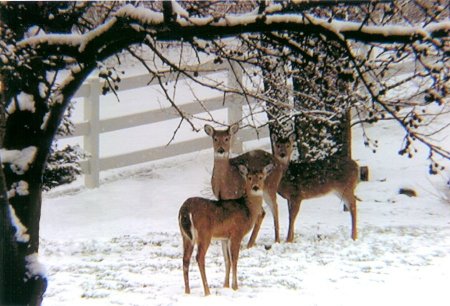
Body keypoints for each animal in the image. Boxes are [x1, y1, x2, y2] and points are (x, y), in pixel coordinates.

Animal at [178, 161, 270, 296]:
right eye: (249, 177)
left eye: (261, 177)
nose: (255, 187)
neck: (248, 210)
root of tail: (185, 209)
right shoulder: (236, 233)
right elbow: (235, 259)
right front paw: (235, 287)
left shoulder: (224, 237)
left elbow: (227, 260)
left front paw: (225, 286)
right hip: (204, 233)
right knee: (199, 257)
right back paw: (207, 292)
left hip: (185, 236)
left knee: (185, 259)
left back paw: (187, 292)